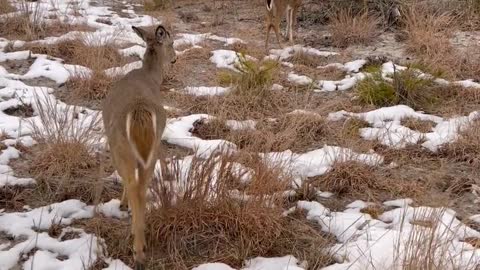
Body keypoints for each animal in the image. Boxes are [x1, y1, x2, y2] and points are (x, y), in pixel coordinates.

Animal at [102, 24, 177, 270]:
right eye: (172, 43)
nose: (175, 58)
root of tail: (139, 110)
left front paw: (123, 204)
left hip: (120, 148)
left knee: (135, 186)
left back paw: (138, 249)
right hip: (144, 150)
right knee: (141, 187)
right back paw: (141, 245)